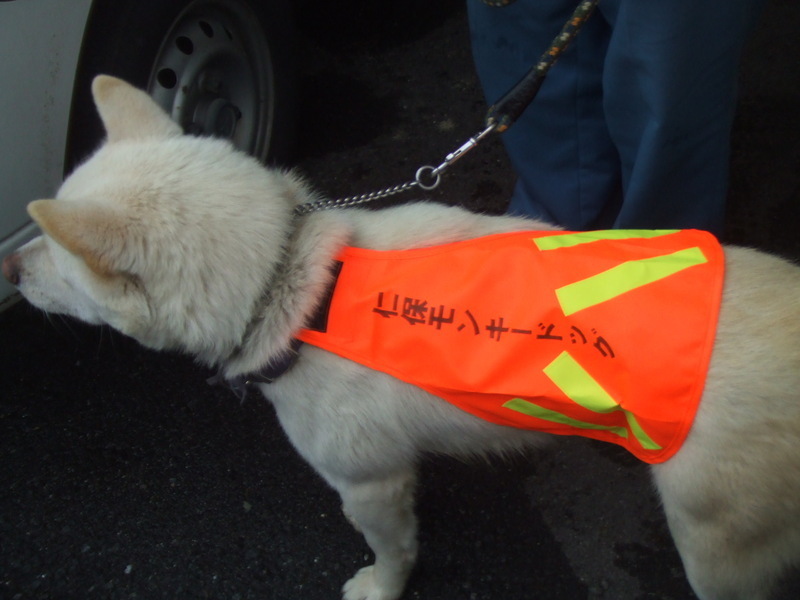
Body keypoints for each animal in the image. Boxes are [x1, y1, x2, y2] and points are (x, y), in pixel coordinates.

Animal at [4, 77, 800, 596]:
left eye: (57, 258)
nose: (7, 265)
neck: (293, 280)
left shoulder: (369, 483)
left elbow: (393, 550)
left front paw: (381, 586)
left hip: (715, 544)